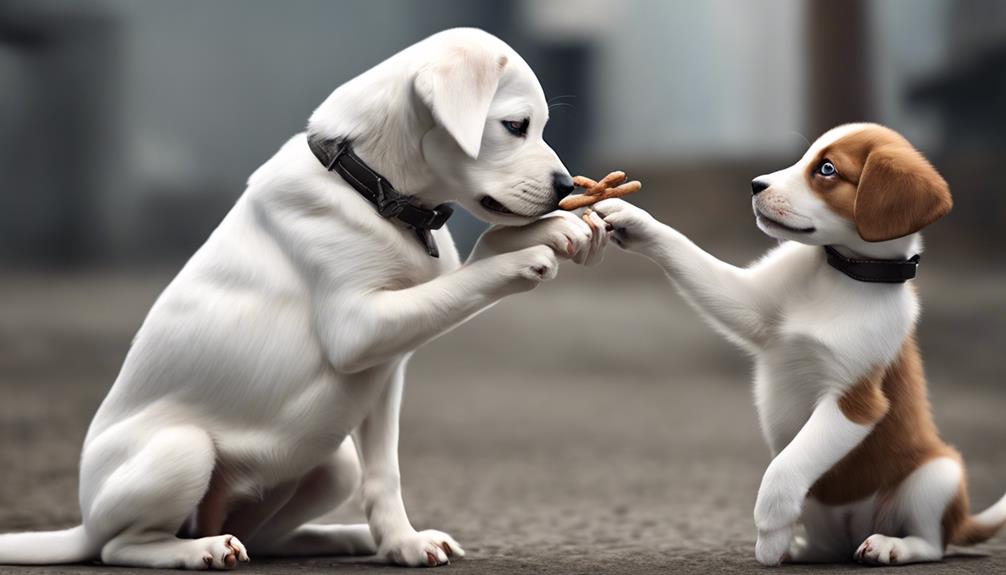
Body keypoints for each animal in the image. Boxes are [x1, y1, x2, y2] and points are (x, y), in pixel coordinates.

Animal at [0, 29, 607, 566]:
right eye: (515, 126)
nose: (566, 188)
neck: (370, 188)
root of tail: (83, 523)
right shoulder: (360, 330)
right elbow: (474, 268)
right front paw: (525, 254)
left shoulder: (385, 371)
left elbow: (385, 473)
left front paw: (402, 544)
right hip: (181, 450)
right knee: (123, 546)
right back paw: (198, 550)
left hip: (332, 463)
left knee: (267, 538)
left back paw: (346, 537)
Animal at [591, 124, 1001, 566]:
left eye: (827, 169)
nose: (755, 185)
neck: (841, 274)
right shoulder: (750, 307)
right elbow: (685, 251)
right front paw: (629, 218)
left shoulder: (853, 403)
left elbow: (786, 466)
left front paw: (769, 532)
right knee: (827, 545)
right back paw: (799, 548)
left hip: (937, 475)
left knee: (932, 544)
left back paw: (888, 546)